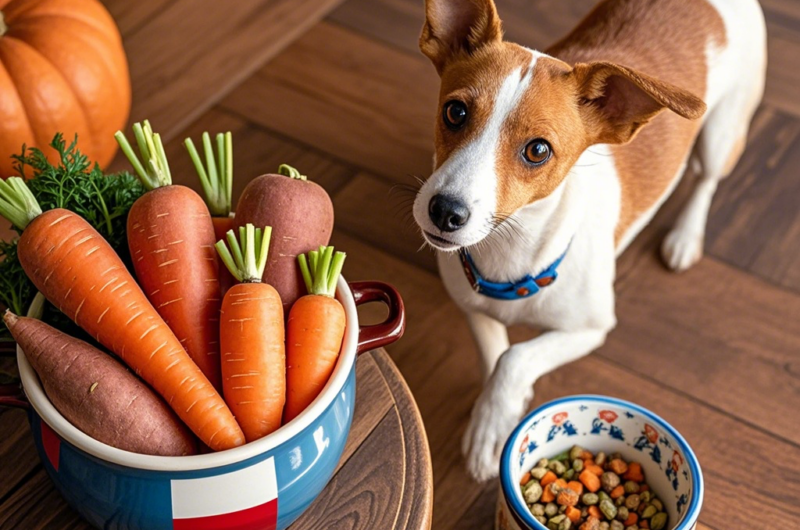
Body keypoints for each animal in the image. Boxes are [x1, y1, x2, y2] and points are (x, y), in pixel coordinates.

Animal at [412, 0, 768, 478]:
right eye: (455, 112)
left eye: (538, 150)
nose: (446, 211)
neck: (511, 255)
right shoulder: (472, 306)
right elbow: (495, 354)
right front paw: (499, 411)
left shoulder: (591, 329)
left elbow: (515, 357)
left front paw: (490, 424)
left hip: (720, 134)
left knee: (706, 179)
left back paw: (685, 236)